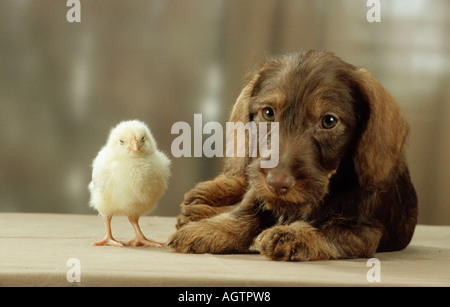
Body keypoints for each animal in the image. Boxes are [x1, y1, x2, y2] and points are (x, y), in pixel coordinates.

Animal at [169, 50, 418, 262]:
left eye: (329, 121)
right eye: (268, 112)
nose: (277, 183)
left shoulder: (365, 231)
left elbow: (330, 229)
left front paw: (294, 235)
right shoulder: (259, 195)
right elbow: (242, 213)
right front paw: (208, 230)